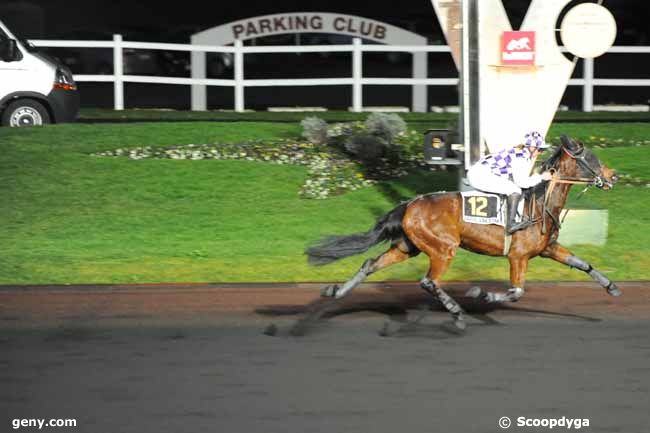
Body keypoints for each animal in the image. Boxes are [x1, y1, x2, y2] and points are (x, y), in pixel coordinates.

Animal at [306, 136, 620, 330]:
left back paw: (336, 291)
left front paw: (611, 287)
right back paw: (457, 314)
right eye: (591, 158)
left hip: (407, 246)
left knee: (370, 264)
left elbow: (583, 264)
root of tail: (409, 203)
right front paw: (481, 293)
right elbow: (516, 292)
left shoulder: (547, 248)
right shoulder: (518, 256)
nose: (613, 176)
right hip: (443, 248)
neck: (540, 202)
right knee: (429, 281)